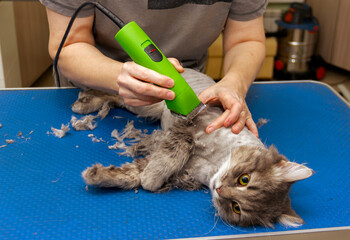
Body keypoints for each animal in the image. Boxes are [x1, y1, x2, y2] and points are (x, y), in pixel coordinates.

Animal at [73, 67, 312, 227]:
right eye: (245, 179)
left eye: (236, 207)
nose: (219, 189)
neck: (213, 165)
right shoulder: (186, 130)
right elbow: (169, 158)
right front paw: (149, 178)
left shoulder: (182, 170)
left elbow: (133, 174)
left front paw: (97, 175)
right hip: (148, 101)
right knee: (115, 91)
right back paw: (83, 102)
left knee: (117, 97)